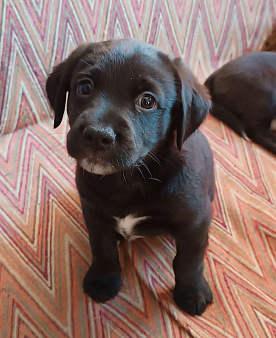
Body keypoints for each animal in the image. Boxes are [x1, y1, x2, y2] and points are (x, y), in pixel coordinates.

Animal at [45, 39, 213, 316]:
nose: (97, 135)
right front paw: (104, 280)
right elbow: (103, 249)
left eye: (147, 101)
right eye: (84, 87)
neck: (127, 179)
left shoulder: (196, 221)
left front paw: (192, 292)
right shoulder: (94, 213)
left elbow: (190, 260)